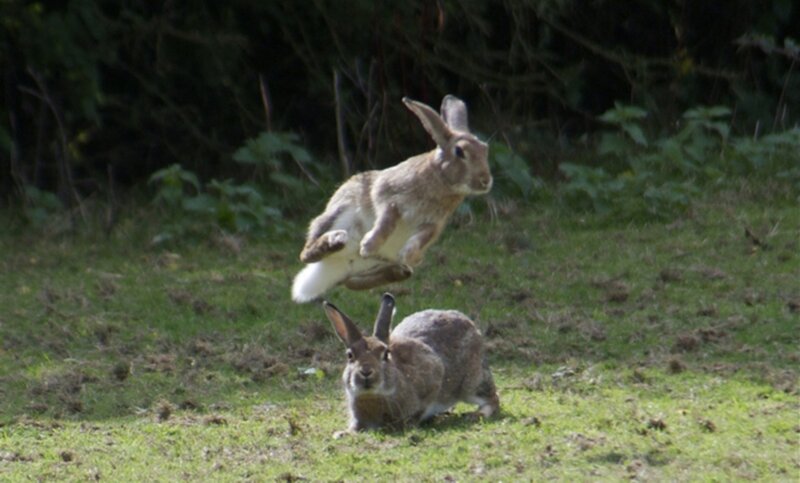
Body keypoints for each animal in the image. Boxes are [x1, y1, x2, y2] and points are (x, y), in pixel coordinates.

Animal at [292, 95, 492, 303]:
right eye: (460, 152)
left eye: (485, 150)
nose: (485, 181)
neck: (440, 180)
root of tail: (338, 264)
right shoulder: (387, 196)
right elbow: (387, 221)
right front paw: (368, 245)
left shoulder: (433, 224)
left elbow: (421, 238)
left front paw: (408, 253)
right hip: (337, 213)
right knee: (306, 254)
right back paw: (336, 240)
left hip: (368, 264)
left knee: (351, 282)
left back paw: (400, 269)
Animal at [323, 293, 500, 432]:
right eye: (350, 356)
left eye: (385, 354)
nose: (366, 372)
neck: (373, 396)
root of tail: (471, 325)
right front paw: (342, 433)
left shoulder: (434, 375)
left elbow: (422, 406)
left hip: (471, 383)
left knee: (492, 399)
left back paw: (476, 414)